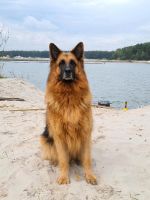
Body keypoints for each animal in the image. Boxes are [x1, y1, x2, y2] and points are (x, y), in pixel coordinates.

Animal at [40, 41, 97, 184]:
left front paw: (89, 175)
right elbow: (63, 160)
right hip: (45, 139)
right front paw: (64, 177)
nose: (67, 71)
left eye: (72, 63)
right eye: (61, 63)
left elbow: (87, 159)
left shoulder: (85, 134)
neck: (68, 96)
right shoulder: (59, 136)